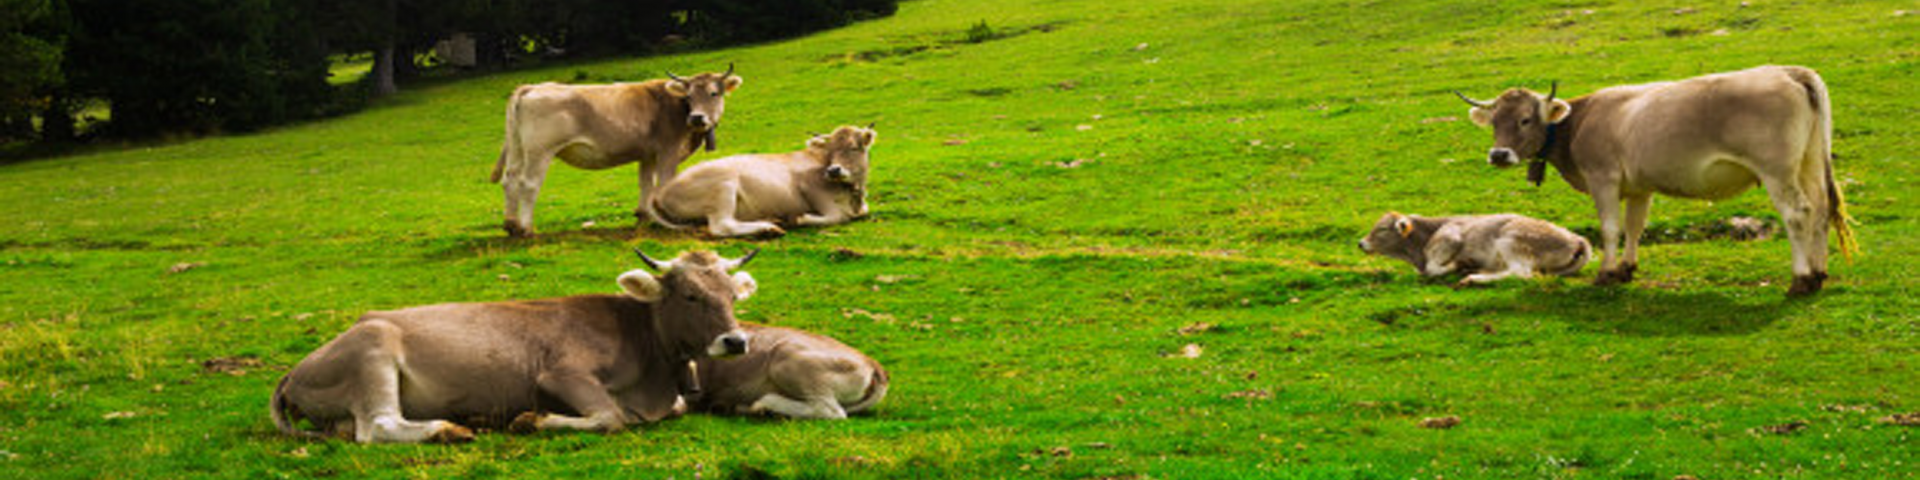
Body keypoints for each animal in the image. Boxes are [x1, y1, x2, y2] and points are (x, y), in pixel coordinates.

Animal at [269, 249, 760, 443]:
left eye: (732, 296)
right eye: (690, 295)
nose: (735, 340)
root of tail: (295, 370)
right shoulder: (560, 374)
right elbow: (611, 417)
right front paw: (532, 420)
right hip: (373, 351)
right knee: (379, 426)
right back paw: (450, 429)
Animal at [491, 64, 743, 237]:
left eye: (714, 93)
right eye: (689, 96)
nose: (697, 117)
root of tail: (533, 86)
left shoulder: (647, 154)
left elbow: (646, 183)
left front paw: (644, 216)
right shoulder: (668, 152)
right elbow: (664, 182)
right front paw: (669, 220)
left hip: (517, 148)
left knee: (510, 180)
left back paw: (511, 225)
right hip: (540, 150)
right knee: (529, 184)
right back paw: (527, 228)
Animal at [644, 125, 876, 238]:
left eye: (854, 147)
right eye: (831, 150)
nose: (833, 170)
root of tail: (660, 191)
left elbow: (861, 211)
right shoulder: (808, 187)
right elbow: (838, 216)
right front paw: (799, 218)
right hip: (723, 188)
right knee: (722, 226)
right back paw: (768, 229)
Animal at [1358, 212, 1591, 285]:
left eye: (1382, 229)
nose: (1361, 243)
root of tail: (1577, 239)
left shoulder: (1450, 238)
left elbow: (1433, 269)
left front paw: (1458, 264)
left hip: (1511, 240)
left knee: (1521, 273)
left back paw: (1472, 277)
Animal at [1455, 65, 1857, 295]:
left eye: (1525, 119)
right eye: (1494, 121)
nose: (1499, 155)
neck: (1578, 121)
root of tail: (1790, 72)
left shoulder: (1603, 178)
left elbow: (1610, 228)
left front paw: (1605, 273)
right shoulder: (1639, 187)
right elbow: (1635, 227)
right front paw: (1626, 269)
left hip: (1777, 170)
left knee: (1797, 214)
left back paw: (1801, 280)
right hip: (1809, 162)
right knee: (1820, 210)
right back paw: (1819, 273)